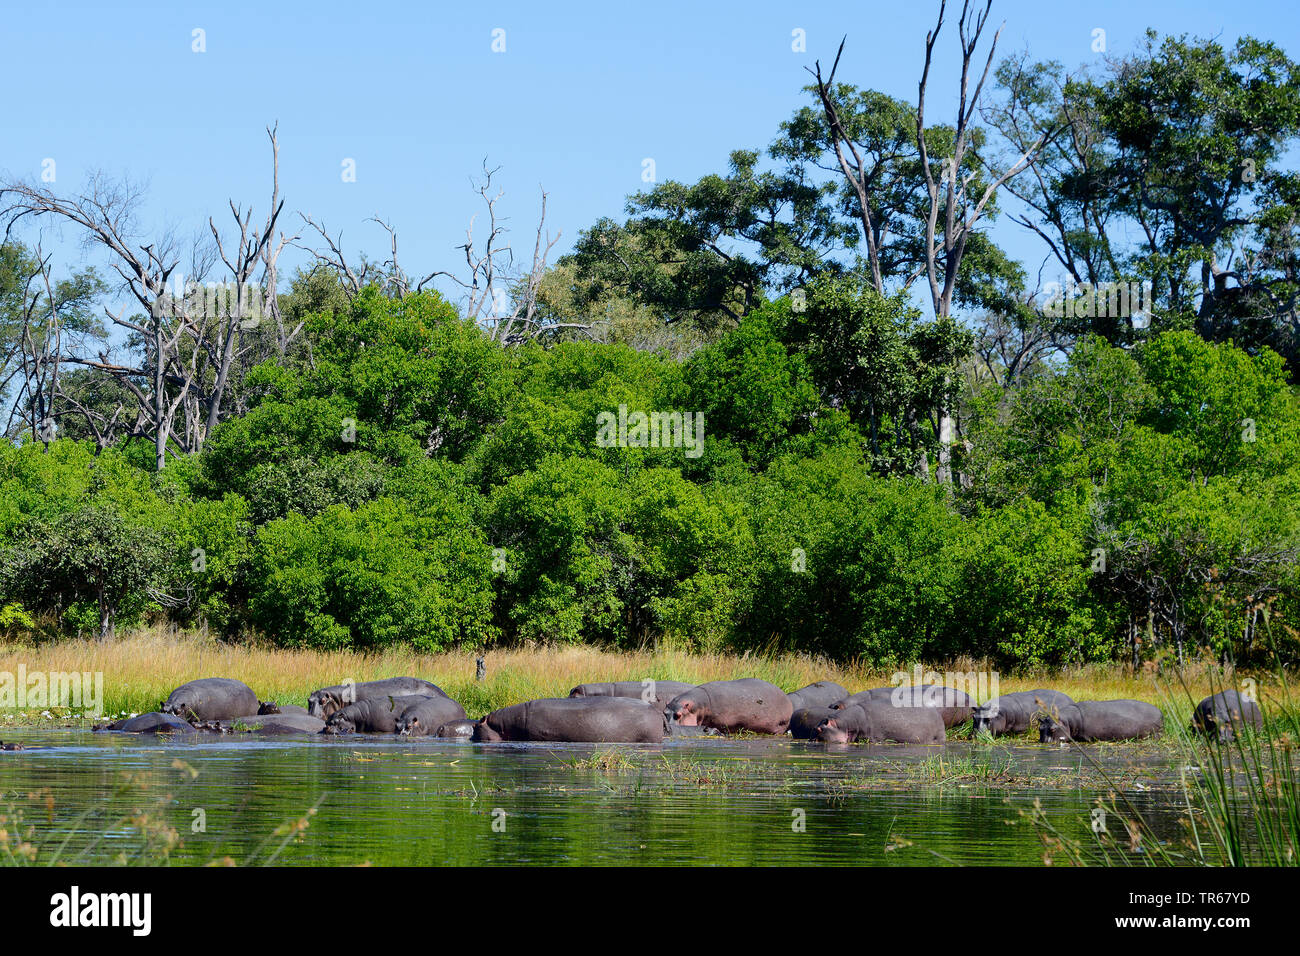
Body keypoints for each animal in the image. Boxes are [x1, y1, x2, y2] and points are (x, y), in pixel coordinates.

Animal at [664, 679, 792, 735]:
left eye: (678, 715)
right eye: (664, 713)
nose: (670, 728)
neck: (698, 707)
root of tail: (787, 699)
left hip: (780, 725)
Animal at [814, 699, 946, 744]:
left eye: (819, 729)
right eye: (816, 727)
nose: (812, 740)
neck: (845, 725)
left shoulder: (870, 737)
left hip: (938, 735)